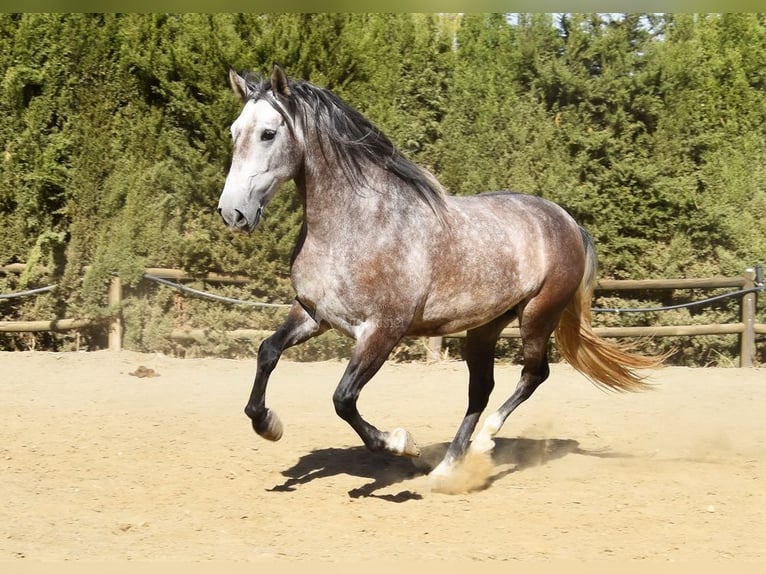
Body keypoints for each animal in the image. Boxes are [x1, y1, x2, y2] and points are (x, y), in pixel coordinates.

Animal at [217, 65, 662, 484]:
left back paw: (483, 442)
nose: (232, 212)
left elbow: (343, 398)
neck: (358, 224)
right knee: (481, 390)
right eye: (235, 131)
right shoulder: (314, 314)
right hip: (484, 327)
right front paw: (268, 425)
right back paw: (449, 466)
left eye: (268, 134)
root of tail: (567, 220)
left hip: (538, 316)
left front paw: (401, 443)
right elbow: (267, 352)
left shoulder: (383, 329)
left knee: (534, 374)